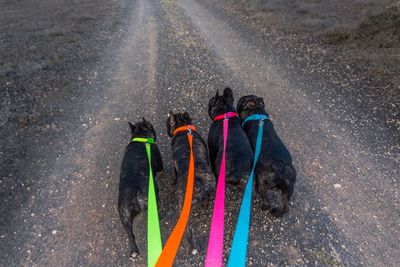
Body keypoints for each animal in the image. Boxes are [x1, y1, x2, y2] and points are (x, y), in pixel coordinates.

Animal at [118, 118, 163, 260]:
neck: (141, 138)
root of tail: (134, 191)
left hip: (124, 217)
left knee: (130, 235)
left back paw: (134, 251)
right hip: (154, 198)